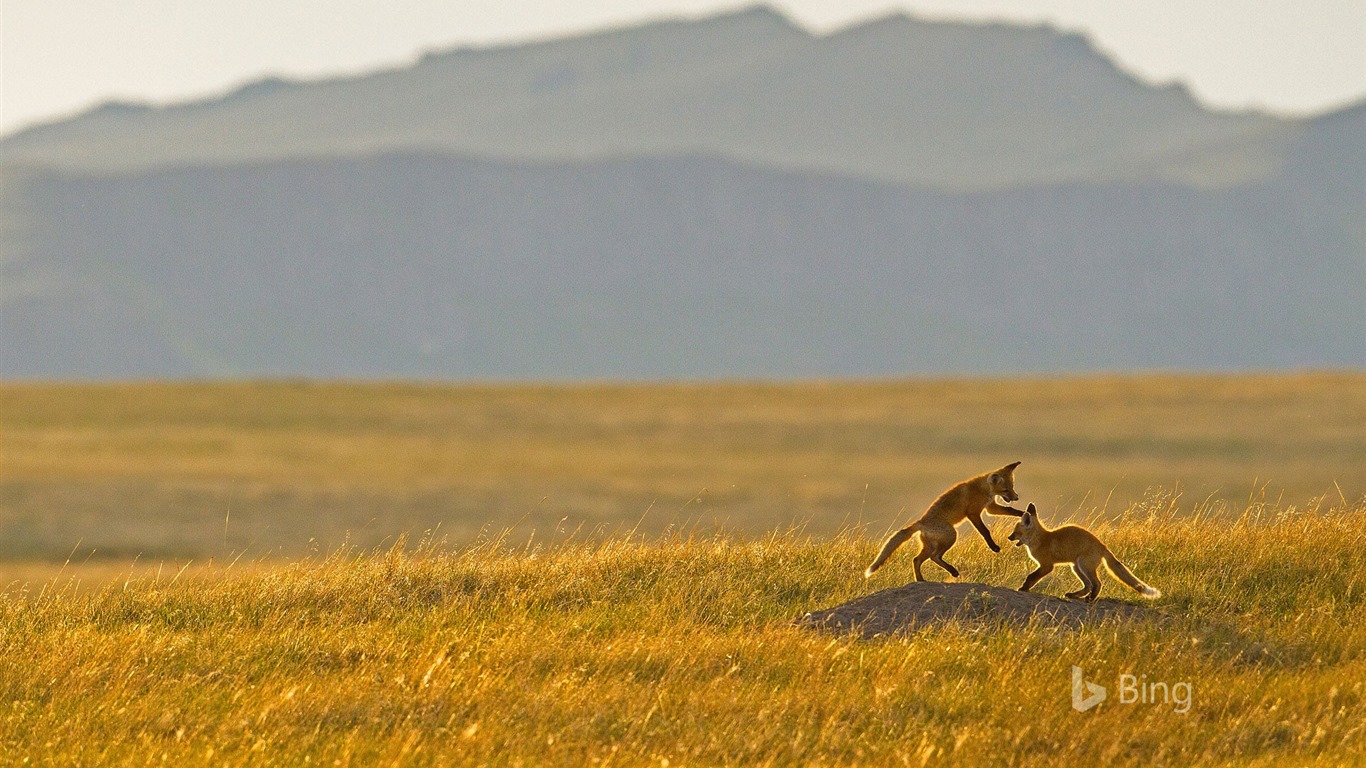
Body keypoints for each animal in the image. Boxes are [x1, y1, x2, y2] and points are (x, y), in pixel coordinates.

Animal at [863, 459, 1027, 579]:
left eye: (1012, 487)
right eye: (1006, 490)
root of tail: (921, 522)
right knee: (934, 557)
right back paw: (951, 571)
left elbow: (1011, 511)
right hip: (951, 535)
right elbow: (985, 531)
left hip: (930, 545)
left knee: (917, 559)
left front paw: (1024, 514)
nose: (1016, 497)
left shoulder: (990, 507)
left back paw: (921, 580)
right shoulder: (973, 513)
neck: (983, 489)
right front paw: (994, 547)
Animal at [1005, 502, 1163, 604]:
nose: (1009, 537)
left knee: (1096, 584)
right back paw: (1075, 596)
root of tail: (1103, 545)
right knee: (1088, 585)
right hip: (1076, 567)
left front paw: (1024, 588)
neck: (1042, 539)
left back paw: (1090, 599)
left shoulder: (1047, 565)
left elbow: (1031, 577)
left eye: (1015, 532)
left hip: (1083, 566)